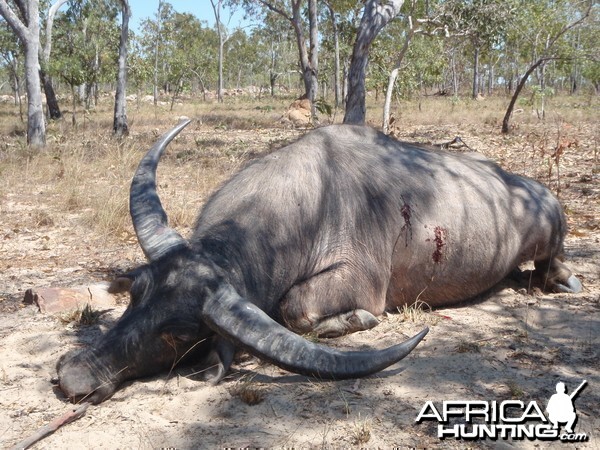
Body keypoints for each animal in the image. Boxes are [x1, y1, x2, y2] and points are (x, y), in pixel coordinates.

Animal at [56, 120, 580, 404]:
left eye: (179, 334)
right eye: (138, 293)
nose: (72, 376)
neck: (309, 203)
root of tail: (534, 191)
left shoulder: (358, 284)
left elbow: (295, 309)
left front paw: (356, 320)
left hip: (550, 233)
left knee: (548, 264)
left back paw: (561, 279)